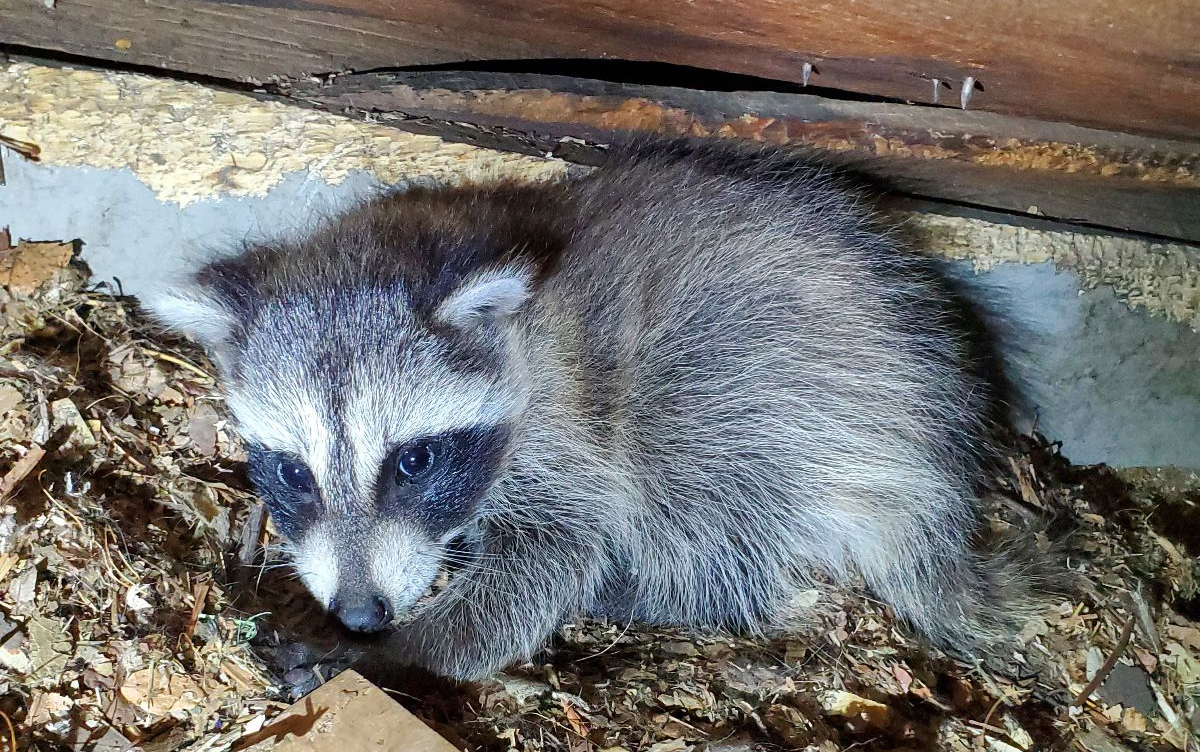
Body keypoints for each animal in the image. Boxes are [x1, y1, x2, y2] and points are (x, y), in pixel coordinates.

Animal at [149, 139, 1045, 681]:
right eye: (293, 473)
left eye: (413, 460)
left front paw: (405, 652)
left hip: (766, 374)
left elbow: (552, 555)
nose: (364, 615)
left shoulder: (566, 423)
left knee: (702, 486)